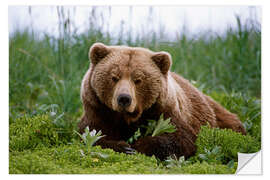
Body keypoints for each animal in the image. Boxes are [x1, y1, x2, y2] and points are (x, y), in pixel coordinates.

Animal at [78, 42, 247, 160]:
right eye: (114, 77)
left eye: (138, 80)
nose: (124, 99)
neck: (128, 117)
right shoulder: (98, 110)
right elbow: (92, 134)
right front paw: (124, 147)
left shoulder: (165, 110)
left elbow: (181, 138)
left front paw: (139, 145)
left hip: (217, 117)